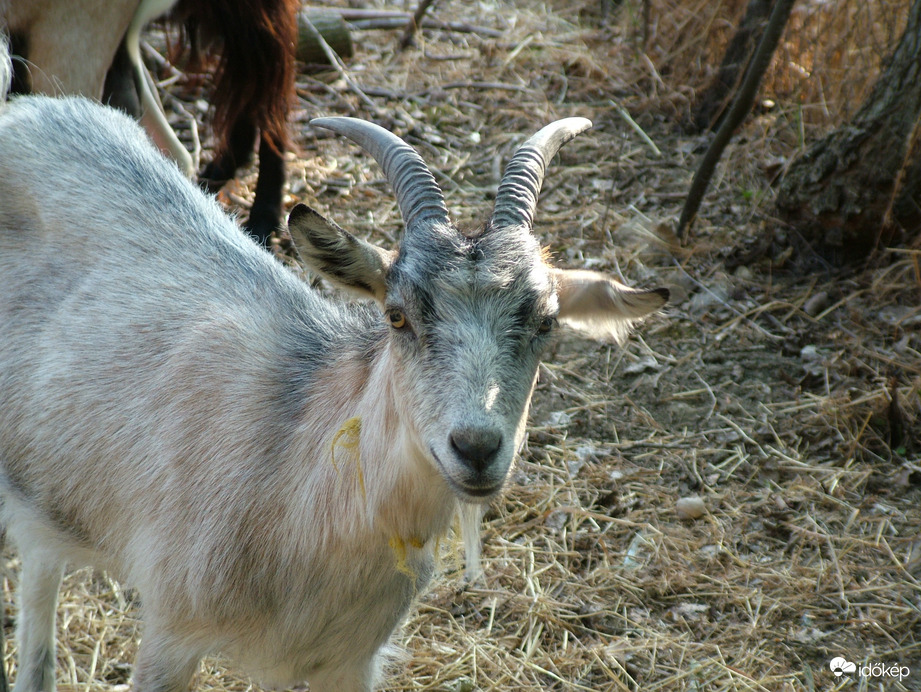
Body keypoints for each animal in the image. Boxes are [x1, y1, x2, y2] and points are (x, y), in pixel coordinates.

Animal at [0, 36, 664, 692]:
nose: (476, 448)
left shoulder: (345, 661)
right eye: (397, 315)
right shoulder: (171, 629)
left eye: (547, 322)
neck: (294, 464)